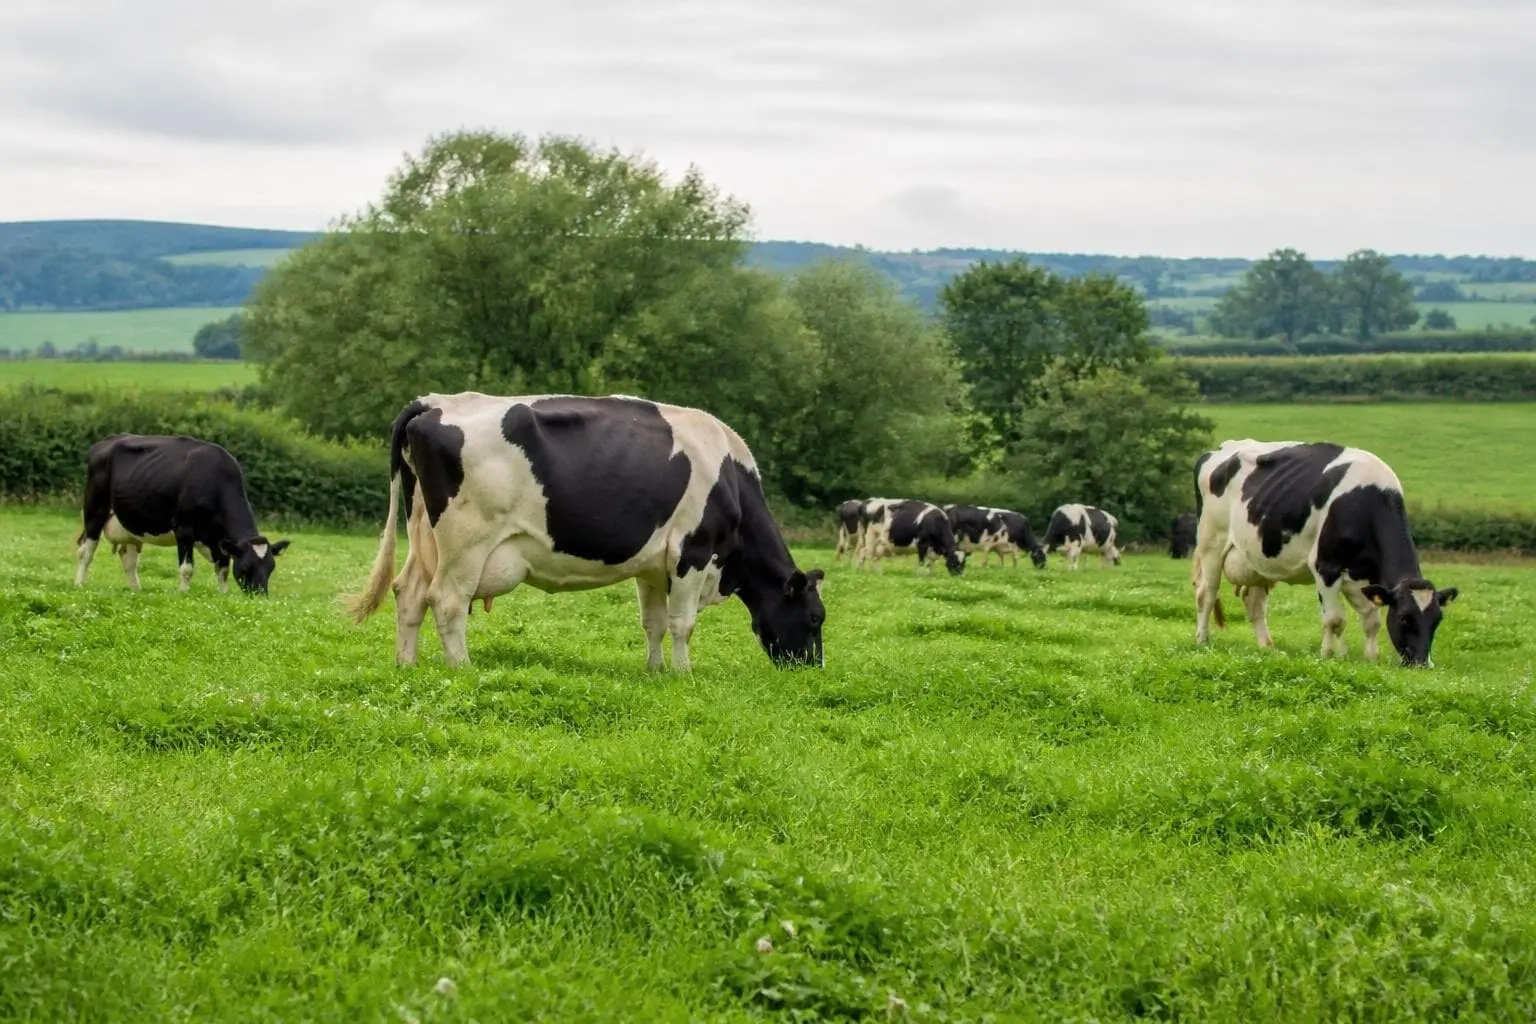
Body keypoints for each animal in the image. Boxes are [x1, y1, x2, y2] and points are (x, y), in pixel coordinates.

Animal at [74, 434, 291, 594]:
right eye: (246, 567)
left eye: (271, 567)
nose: (260, 596)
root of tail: (107, 440)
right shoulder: (184, 529)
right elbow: (187, 568)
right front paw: (183, 593)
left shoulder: (219, 540)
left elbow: (223, 569)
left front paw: (223, 594)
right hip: (95, 510)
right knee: (86, 550)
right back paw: (79, 584)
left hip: (129, 525)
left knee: (129, 560)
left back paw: (136, 590)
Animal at [345, 392, 826, 672]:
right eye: (816, 618)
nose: (813, 669)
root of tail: (435, 402)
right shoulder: (692, 553)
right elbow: (682, 624)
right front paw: (682, 673)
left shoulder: (654, 567)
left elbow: (653, 623)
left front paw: (656, 672)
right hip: (466, 542)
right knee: (446, 601)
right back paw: (462, 668)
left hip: (424, 534)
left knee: (409, 593)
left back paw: (407, 665)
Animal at [1191, 438, 1458, 667]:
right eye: (1403, 617)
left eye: (1437, 619)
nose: (1422, 663)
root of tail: (1220, 449)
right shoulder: (1325, 566)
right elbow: (1334, 619)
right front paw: (1330, 655)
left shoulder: (1364, 577)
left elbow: (1372, 621)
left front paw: (1370, 657)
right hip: (1211, 541)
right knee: (1207, 593)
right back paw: (1202, 640)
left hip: (1258, 559)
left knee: (1254, 603)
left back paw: (1268, 648)